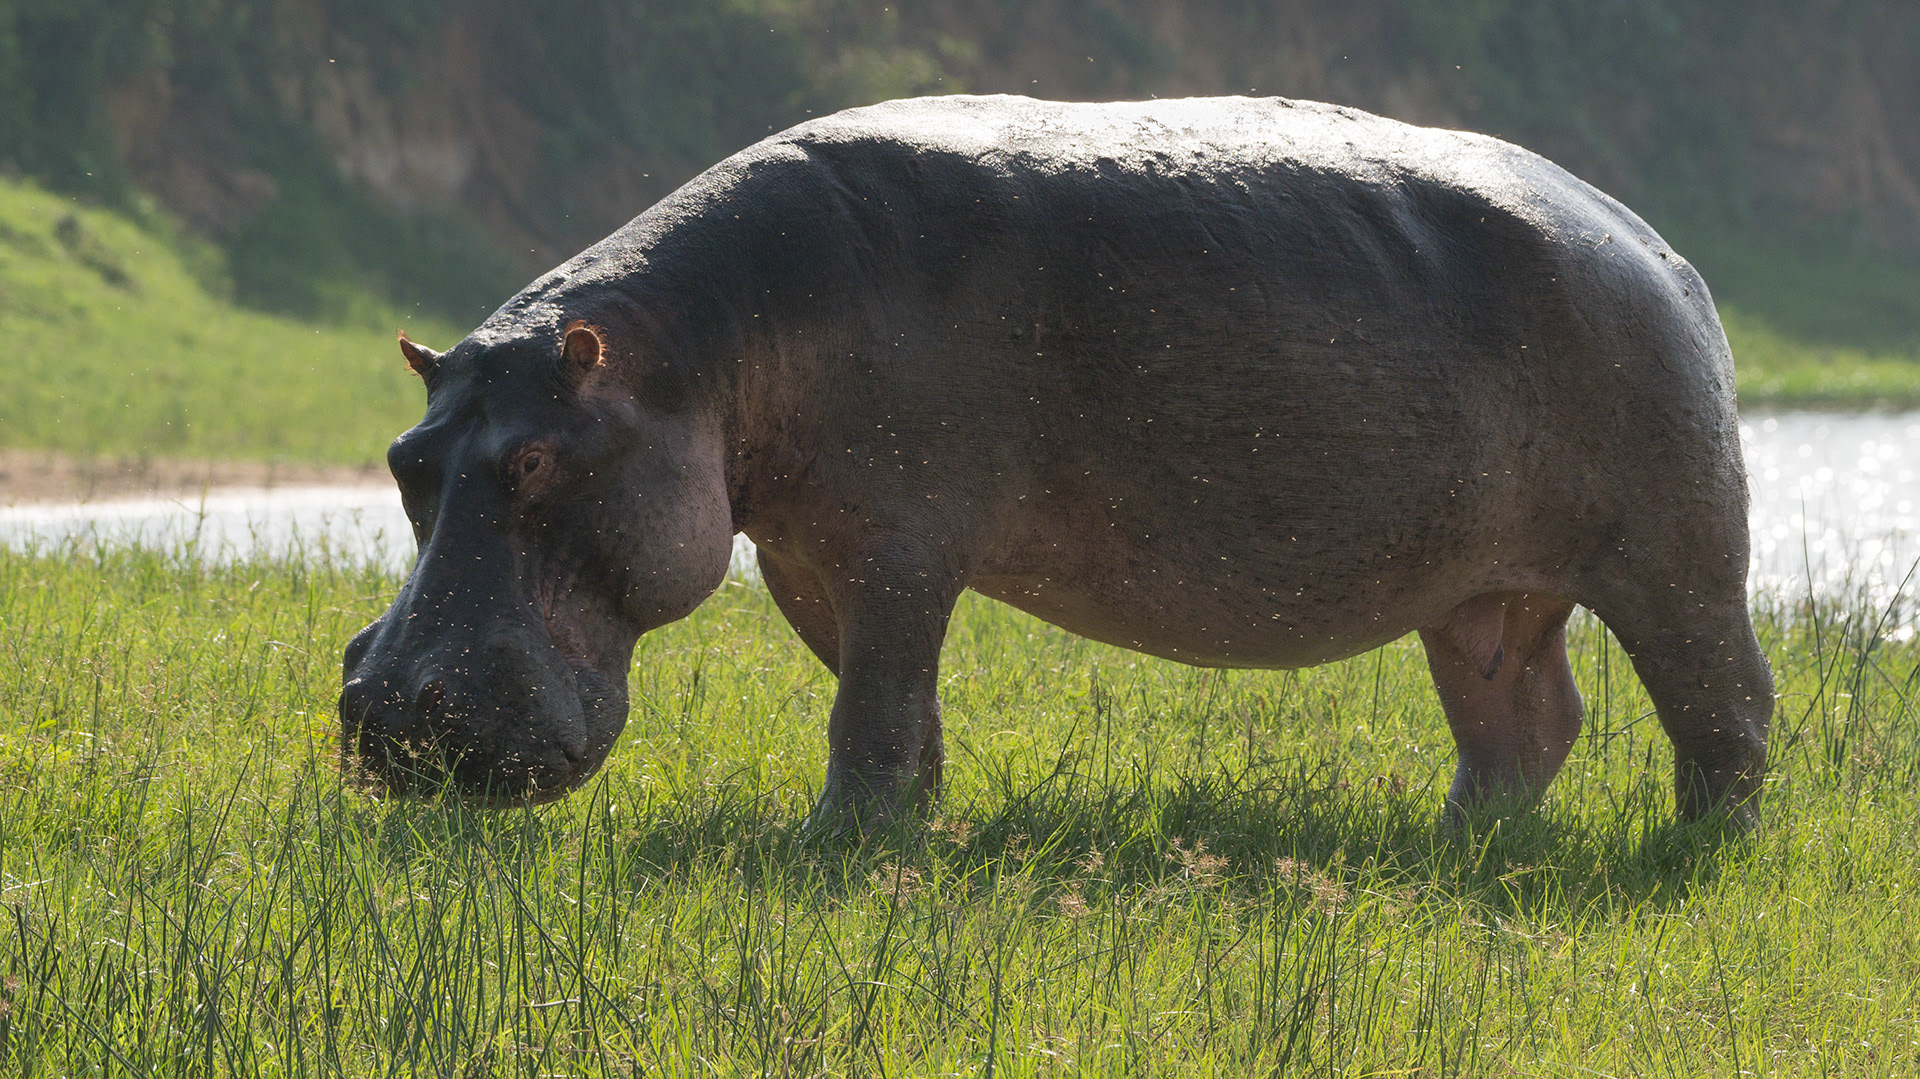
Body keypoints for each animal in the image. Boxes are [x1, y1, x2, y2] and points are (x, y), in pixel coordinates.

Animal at [340, 94, 1772, 829]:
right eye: (406, 458)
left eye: (534, 463)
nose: (390, 713)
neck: (691, 352)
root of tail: (1665, 251)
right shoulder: (809, 550)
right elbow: (887, 698)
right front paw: (907, 831)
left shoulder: (899, 541)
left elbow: (870, 706)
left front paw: (835, 848)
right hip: (1482, 587)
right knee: (1524, 717)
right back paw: (1460, 845)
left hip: (1677, 558)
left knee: (1726, 708)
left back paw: (1691, 850)